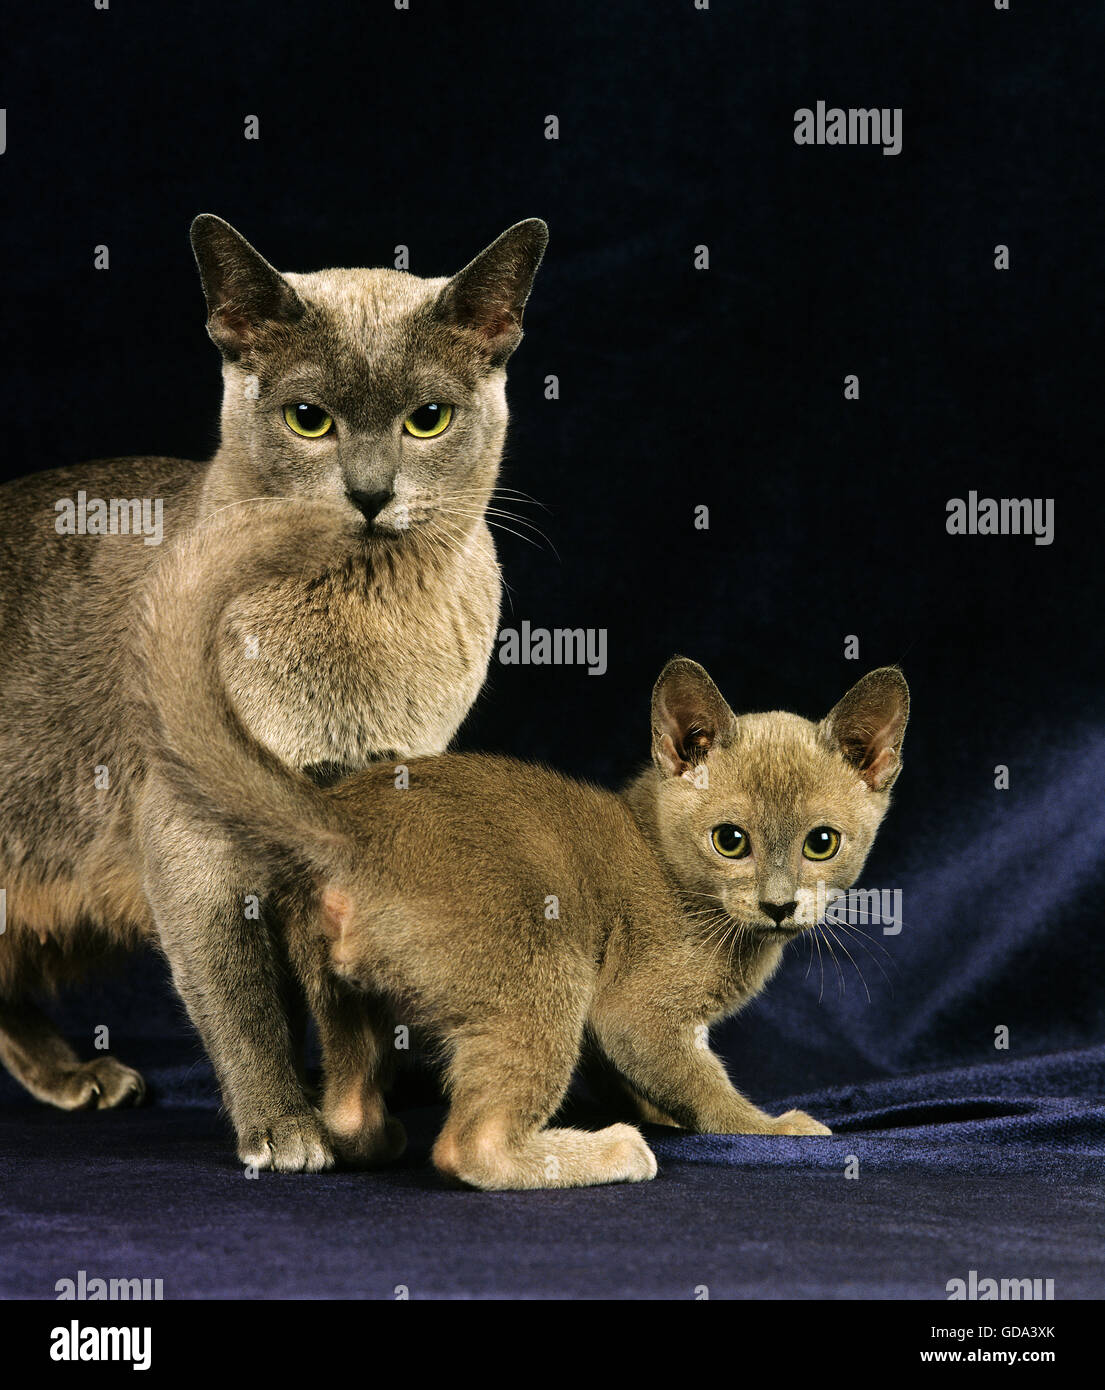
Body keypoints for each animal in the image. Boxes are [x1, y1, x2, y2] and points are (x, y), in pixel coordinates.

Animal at [0, 211, 550, 1167]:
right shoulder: (190, 837)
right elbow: (241, 999)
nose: (369, 493)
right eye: (308, 419)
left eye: (427, 420)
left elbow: (333, 997)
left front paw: (357, 1116)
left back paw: (81, 1077)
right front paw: (285, 1129)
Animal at [144, 505, 906, 1189]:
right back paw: (610, 1153)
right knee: (470, 1145)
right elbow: (701, 1087)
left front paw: (657, 1112)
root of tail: (346, 823)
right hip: (545, 967)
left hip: (340, 988)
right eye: (730, 840)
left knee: (349, 1112)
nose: (780, 905)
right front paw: (773, 1128)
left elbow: (640, 1078)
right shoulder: (633, 1010)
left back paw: (378, 1132)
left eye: (821, 843)